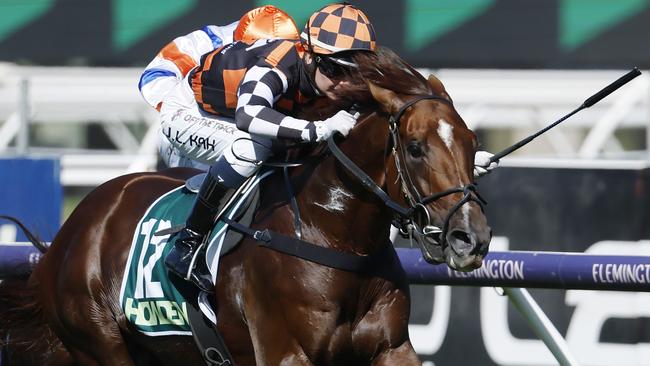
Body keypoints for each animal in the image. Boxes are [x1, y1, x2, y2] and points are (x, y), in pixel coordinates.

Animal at [0, 49, 486, 366]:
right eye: (416, 147)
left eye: (471, 142)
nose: (471, 238)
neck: (334, 233)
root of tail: (70, 232)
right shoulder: (286, 353)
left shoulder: (391, 348)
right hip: (101, 346)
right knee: (243, 146)